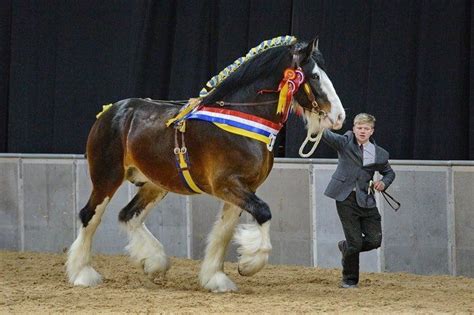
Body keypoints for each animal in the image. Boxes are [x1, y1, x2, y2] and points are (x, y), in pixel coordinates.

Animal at [65, 36, 344, 294]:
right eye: (315, 76)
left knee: (128, 215)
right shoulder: (225, 184)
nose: (339, 116)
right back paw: (82, 274)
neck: (241, 120)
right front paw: (248, 265)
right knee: (90, 216)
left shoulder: (243, 189)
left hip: (156, 183)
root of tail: (110, 112)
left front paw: (216, 279)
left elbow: (224, 232)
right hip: (106, 178)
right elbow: (263, 213)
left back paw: (154, 263)